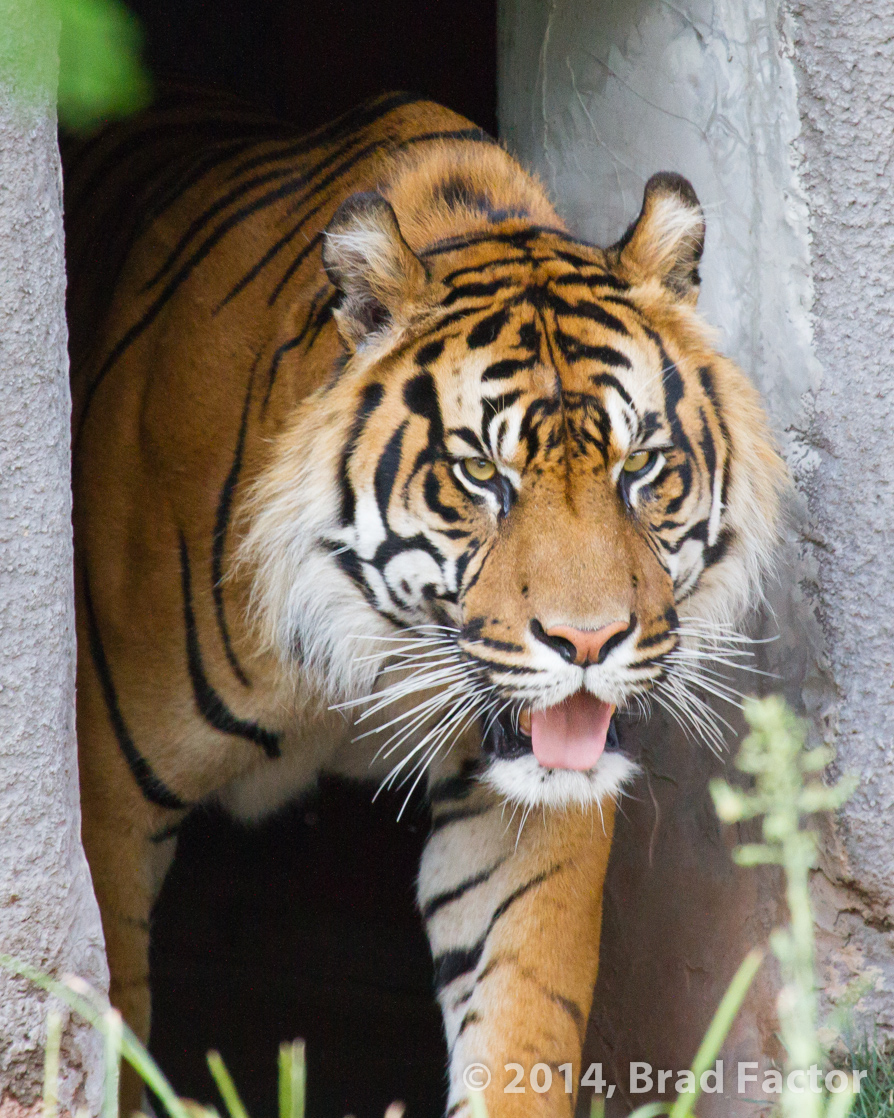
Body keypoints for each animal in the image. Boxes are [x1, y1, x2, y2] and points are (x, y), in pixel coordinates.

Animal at [64, 89, 785, 1117]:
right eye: (482, 474)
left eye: (640, 465)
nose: (590, 641)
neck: (369, 646)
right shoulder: (108, 815)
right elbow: (108, 1020)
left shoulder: (523, 812)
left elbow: (523, 1025)